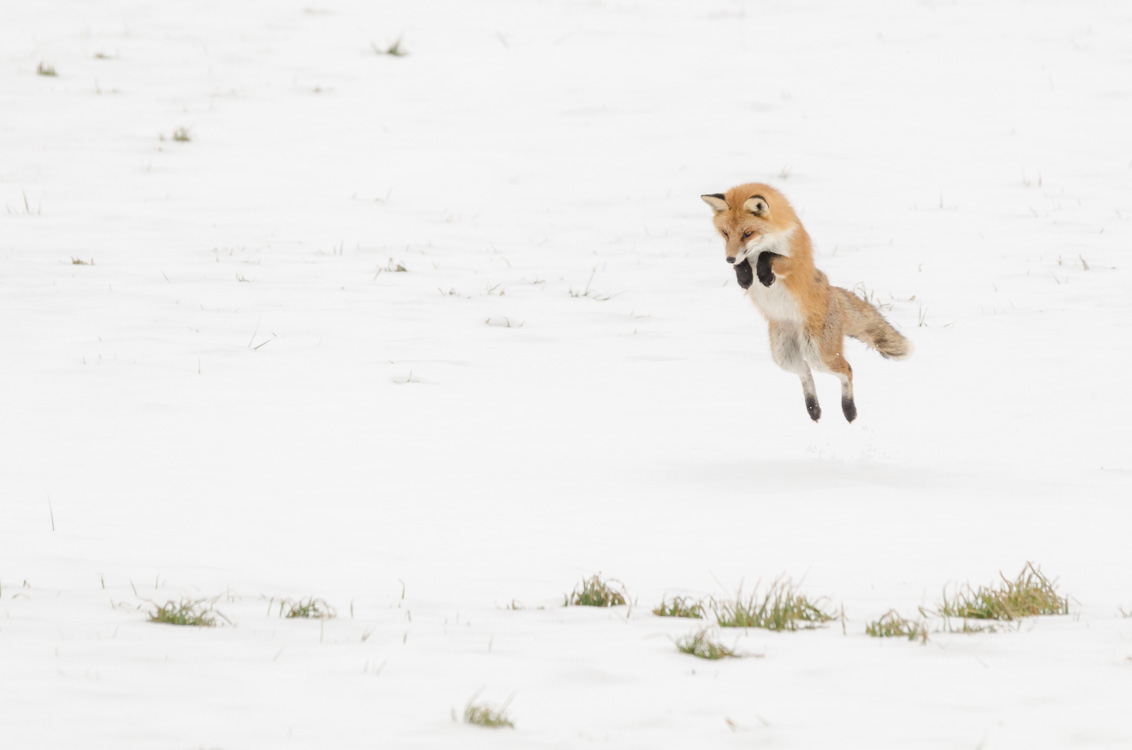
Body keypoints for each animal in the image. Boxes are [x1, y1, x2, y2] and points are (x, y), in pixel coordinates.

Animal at [697, 183, 910, 423]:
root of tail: (832, 292)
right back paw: (813, 409)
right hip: (784, 356)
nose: (729, 258)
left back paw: (849, 410)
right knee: (806, 372)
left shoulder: (796, 263)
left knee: (847, 369)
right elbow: (745, 263)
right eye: (725, 233)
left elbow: (769, 256)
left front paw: (763, 274)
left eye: (747, 233)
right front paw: (744, 276)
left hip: (819, 353)